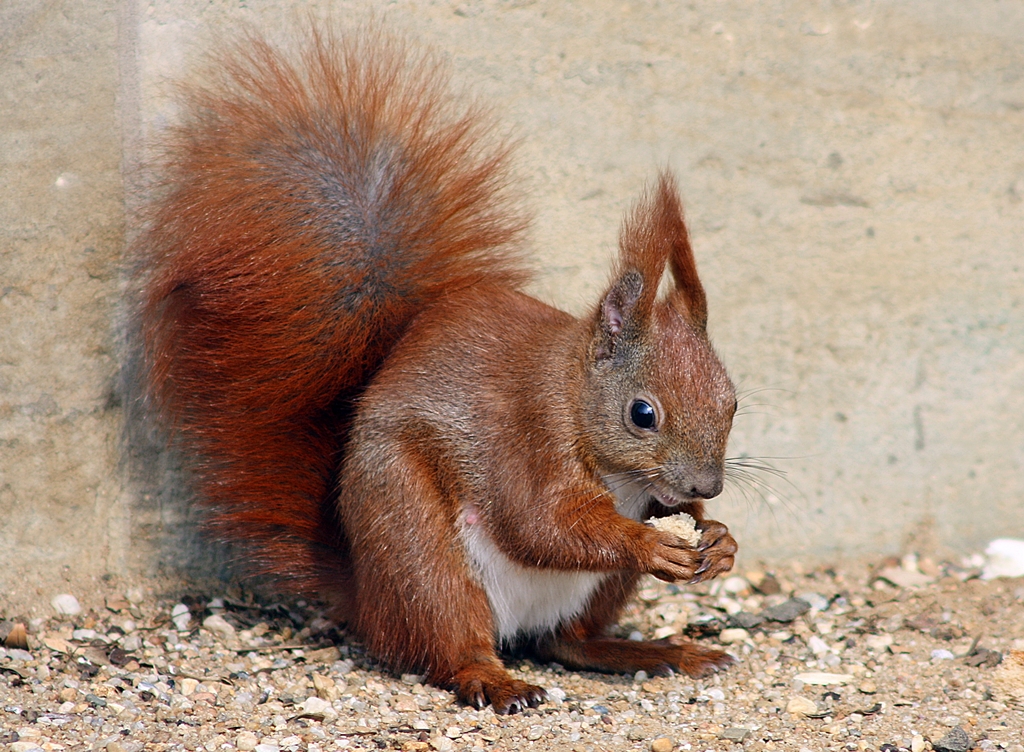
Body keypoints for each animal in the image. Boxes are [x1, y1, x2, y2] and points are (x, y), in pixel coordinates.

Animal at [128, 27, 741, 713]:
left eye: (732, 403)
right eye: (642, 414)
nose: (709, 485)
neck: (576, 398)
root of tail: (369, 599)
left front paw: (718, 538)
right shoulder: (530, 438)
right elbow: (541, 524)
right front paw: (652, 542)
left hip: (592, 590)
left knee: (568, 641)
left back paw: (659, 652)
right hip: (417, 543)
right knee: (454, 644)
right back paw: (497, 680)